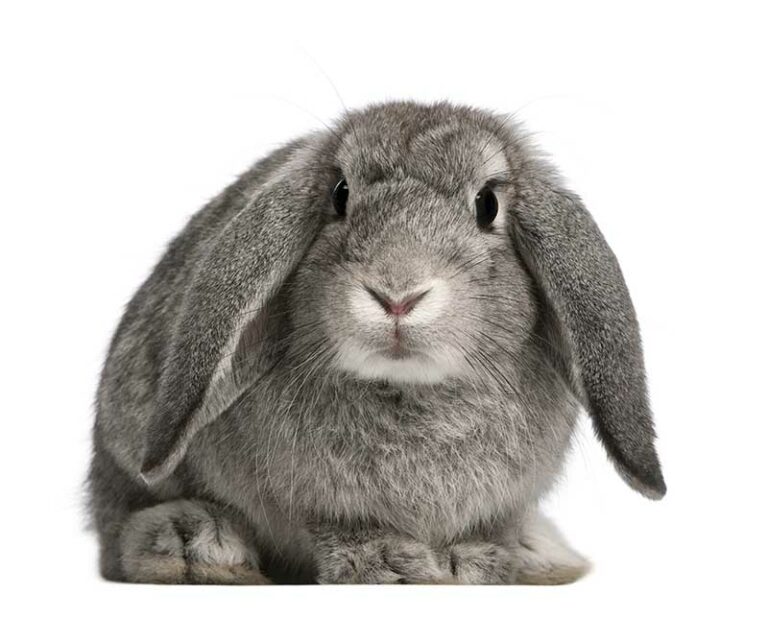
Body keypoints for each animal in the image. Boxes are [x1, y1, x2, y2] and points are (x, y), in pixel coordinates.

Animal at [88, 100, 665, 585]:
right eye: (340, 195)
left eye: (488, 204)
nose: (397, 294)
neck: (410, 389)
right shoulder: (321, 504)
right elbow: (342, 528)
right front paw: (391, 565)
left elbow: (486, 531)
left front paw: (473, 562)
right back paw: (196, 548)